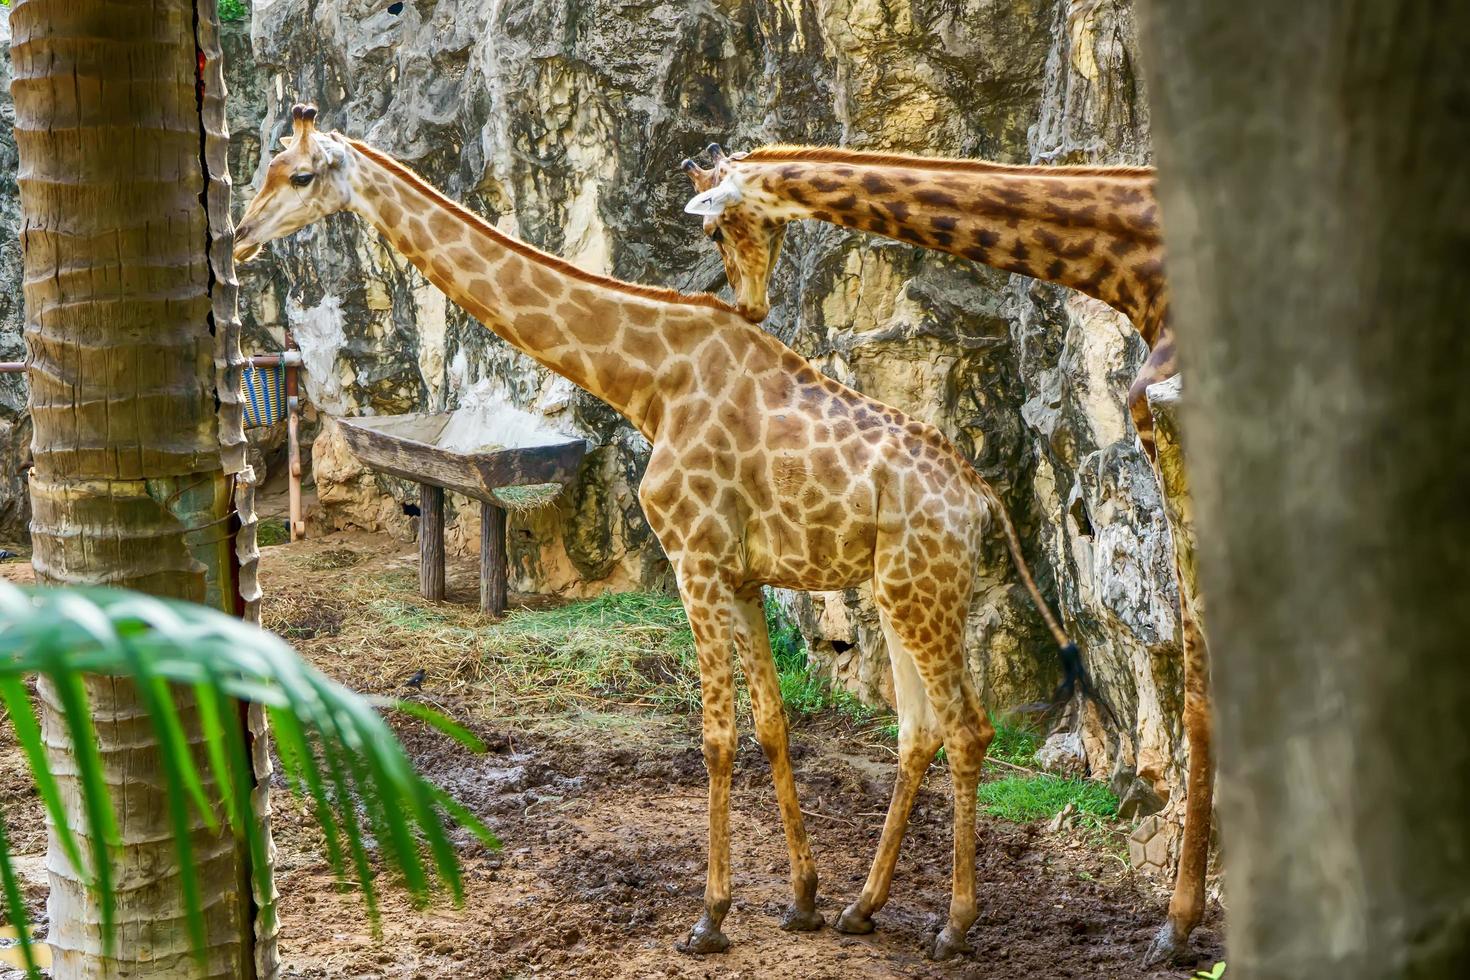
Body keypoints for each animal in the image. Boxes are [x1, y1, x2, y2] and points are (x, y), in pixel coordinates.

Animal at [235, 105, 1099, 957]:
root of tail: (980, 496)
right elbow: (771, 724)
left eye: (301, 175)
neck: (651, 379)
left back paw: (953, 926)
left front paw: (710, 918)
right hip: (898, 590)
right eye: (266, 166)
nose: (240, 236)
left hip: (925, 586)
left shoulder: (696, 558)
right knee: (918, 730)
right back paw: (862, 908)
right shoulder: (743, 575)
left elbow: (716, 736)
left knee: (968, 728)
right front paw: (802, 900)